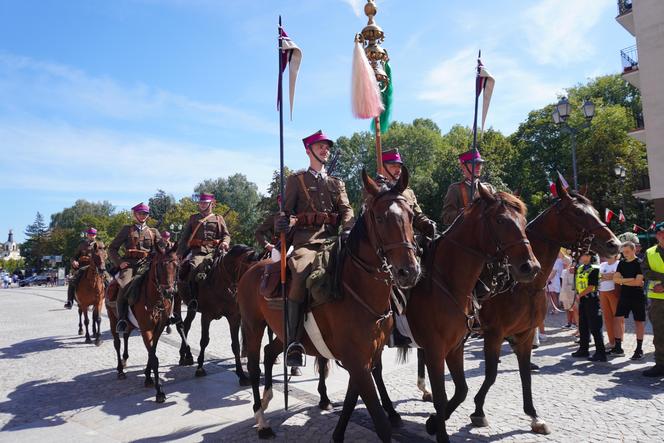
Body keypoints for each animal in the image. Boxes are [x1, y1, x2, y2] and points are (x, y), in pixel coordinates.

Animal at [104, 245, 178, 404]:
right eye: (159, 265)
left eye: (176, 265)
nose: (169, 292)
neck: (155, 300)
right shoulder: (146, 329)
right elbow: (153, 357)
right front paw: (159, 391)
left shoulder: (158, 328)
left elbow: (152, 352)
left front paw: (148, 377)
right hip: (112, 319)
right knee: (117, 342)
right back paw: (120, 369)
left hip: (130, 323)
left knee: (126, 336)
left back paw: (125, 359)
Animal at [178, 245, 264, 386]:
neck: (222, 282)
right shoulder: (206, 316)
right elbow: (204, 341)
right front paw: (200, 368)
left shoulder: (234, 317)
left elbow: (235, 345)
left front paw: (241, 375)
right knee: (183, 326)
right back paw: (185, 355)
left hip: (191, 309)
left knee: (186, 325)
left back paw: (185, 355)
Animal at [236, 168, 418, 442]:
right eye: (379, 218)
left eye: (410, 214)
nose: (408, 271)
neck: (357, 288)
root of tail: (253, 268)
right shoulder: (358, 362)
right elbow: (380, 423)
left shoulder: (366, 359)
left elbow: (352, 399)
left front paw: (338, 433)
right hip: (252, 325)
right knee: (254, 365)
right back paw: (262, 420)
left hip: (283, 331)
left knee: (269, 353)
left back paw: (267, 399)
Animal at [402, 186, 544, 442]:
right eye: (500, 220)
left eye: (523, 221)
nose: (531, 267)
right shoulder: (441, 347)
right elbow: (451, 392)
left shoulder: (458, 345)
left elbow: (463, 390)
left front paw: (433, 422)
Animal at [454, 182, 620, 436]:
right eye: (577, 212)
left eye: (595, 212)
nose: (615, 245)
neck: (524, 285)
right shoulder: (493, 334)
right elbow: (491, 374)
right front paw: (478, 411)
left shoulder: (525, 334)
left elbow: (525, 375)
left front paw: (533, 415)